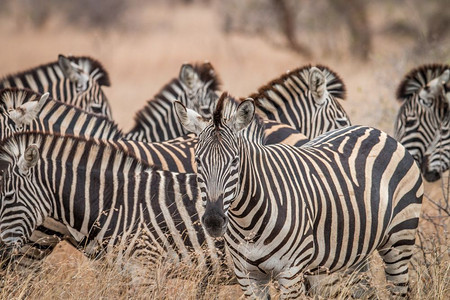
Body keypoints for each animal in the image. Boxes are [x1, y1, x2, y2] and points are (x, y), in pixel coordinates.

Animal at [177, 92, 426, 298]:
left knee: (399, 289)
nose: (213, 221)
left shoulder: (290, 272)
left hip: (400, 240)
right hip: (356, 248)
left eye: (235, 161)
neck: (246, 221)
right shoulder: (248, 277)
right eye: (198, 161)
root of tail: (377, 131)